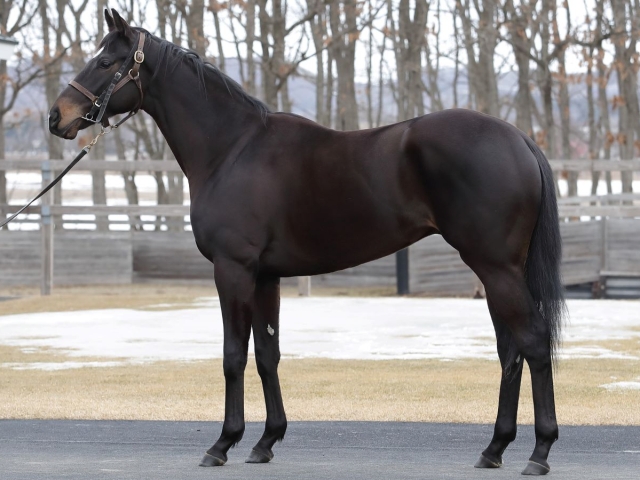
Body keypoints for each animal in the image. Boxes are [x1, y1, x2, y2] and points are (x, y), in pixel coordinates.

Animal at [52, 9, 568, 474]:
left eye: (105, 61)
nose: (58, 117)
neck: (232, 149)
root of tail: (519, 138)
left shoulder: (233, 270)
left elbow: (233, 356)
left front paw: (223, 444)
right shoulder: (266, 277)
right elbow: (267, 355)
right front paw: (265, 442)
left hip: (496, 267)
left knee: (532, 341)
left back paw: (540, 452)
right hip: (498, 270)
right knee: (510, 350)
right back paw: (494, 449)